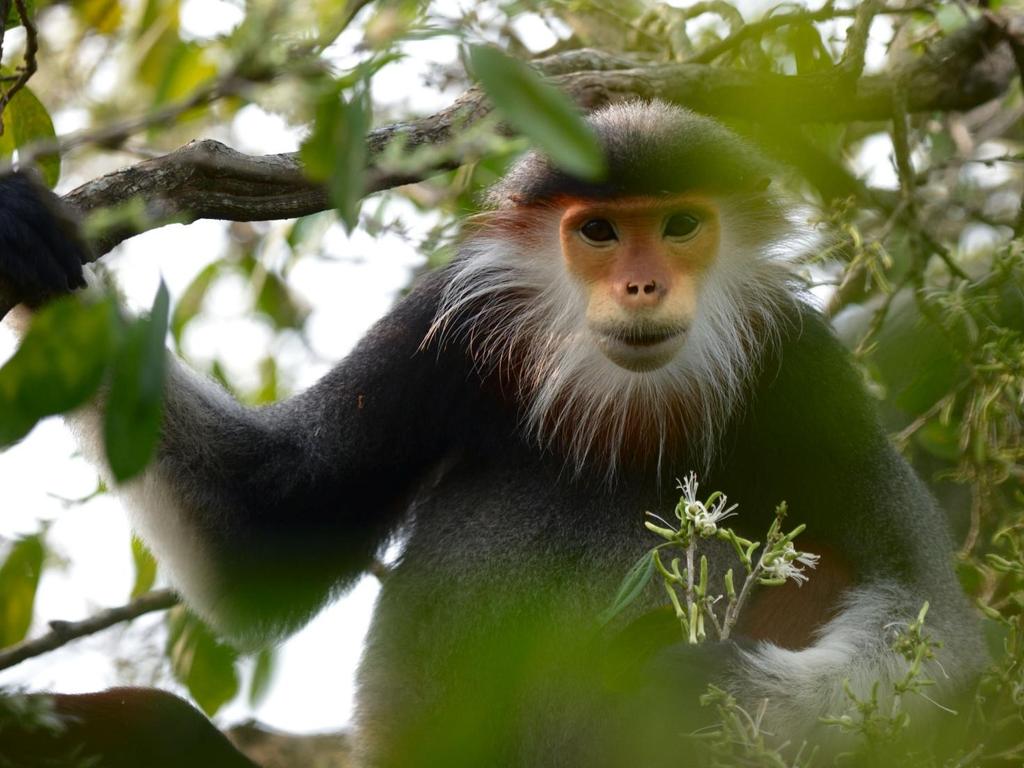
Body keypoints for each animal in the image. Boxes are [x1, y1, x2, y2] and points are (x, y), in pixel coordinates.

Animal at [0, 103, 983, 768]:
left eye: (679, 226)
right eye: (598, 232)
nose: (642, 287)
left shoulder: (805, 373)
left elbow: (938, 622)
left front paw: (703, 686)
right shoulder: (447, 332)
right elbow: (261, 526)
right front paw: (28, 236)